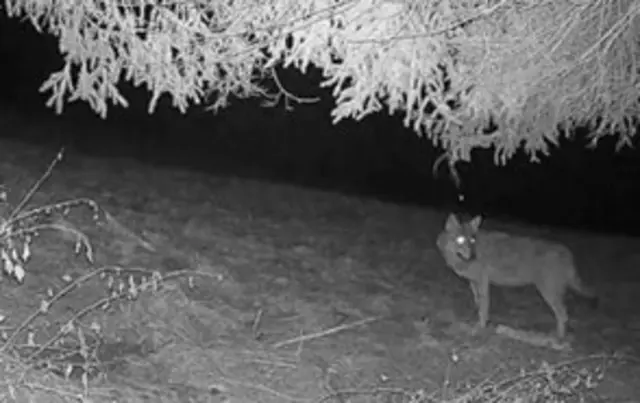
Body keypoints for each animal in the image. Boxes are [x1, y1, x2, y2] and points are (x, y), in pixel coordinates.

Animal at [436, 213, 598, 339]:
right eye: (460, 240)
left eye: (472, 240)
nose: (472, 256)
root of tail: (567, 252)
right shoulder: (474, 283)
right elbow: (478, 304)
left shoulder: (482, 283)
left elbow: (483, 308)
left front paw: (480, 328)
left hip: (548, 293)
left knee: (563, 315)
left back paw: (558, 340)